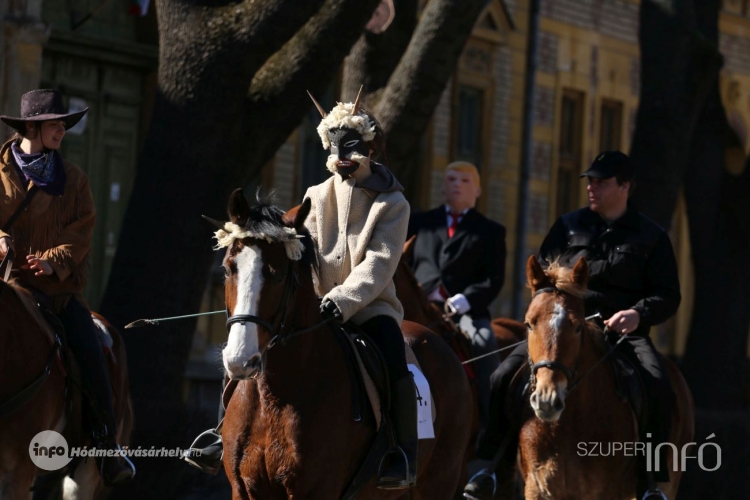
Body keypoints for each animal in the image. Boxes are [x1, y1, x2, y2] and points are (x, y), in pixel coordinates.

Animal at [213, 191, 470, 500]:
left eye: (278, 274)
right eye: (228, 269)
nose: (239, 360)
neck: (273, 398)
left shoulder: (315, 491)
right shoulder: (244, 490)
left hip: (439, 481)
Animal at [520, 258, 696, 500]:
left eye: (578, 327)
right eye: (529, 324)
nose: (547, 400)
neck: (567, 426)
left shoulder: (605, 492)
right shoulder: (537, 488)